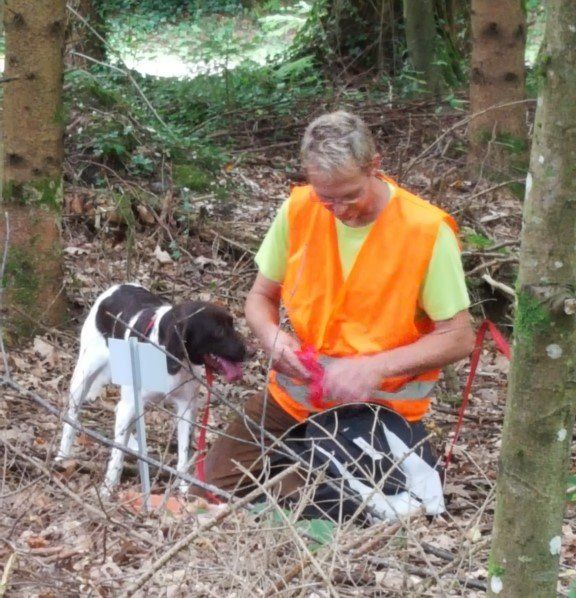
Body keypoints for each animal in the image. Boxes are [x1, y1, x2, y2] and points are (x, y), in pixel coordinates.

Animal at [57, 286, 246, 496]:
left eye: (232, 324)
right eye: (219, 331)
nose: (251, 350)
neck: (169, 358)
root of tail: (115, 288)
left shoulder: (186, 409)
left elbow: (183, 455)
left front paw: (183, 490)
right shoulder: (131, 403)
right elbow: (117, 453)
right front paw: (108, 487)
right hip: (84, 374)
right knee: (72, 417)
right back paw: (62, 456)